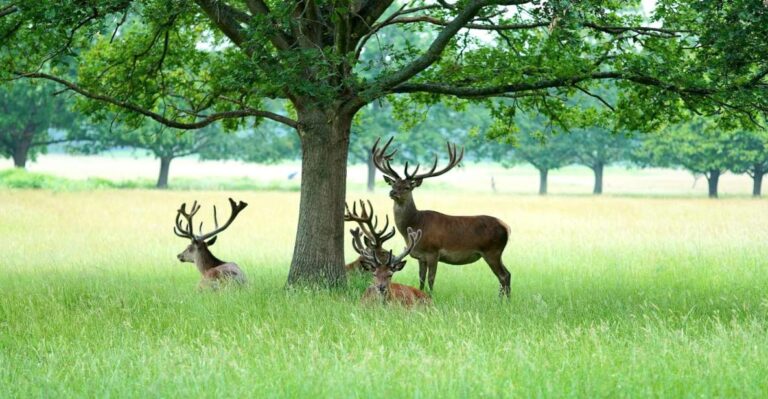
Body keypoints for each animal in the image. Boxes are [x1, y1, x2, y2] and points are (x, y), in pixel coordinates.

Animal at [370, 138, 510, 296]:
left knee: (503, 276)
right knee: (507, 274)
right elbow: (421, 279)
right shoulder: (420, 256)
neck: (417, 223)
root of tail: (506, 227)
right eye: (393, 184)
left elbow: (431, 279)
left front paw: (431, 296)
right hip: (496, 253)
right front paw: (420, 293)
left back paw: (502, 300)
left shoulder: (433, 252)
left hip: (492, 251)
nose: (392, 192)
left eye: (407, 187)